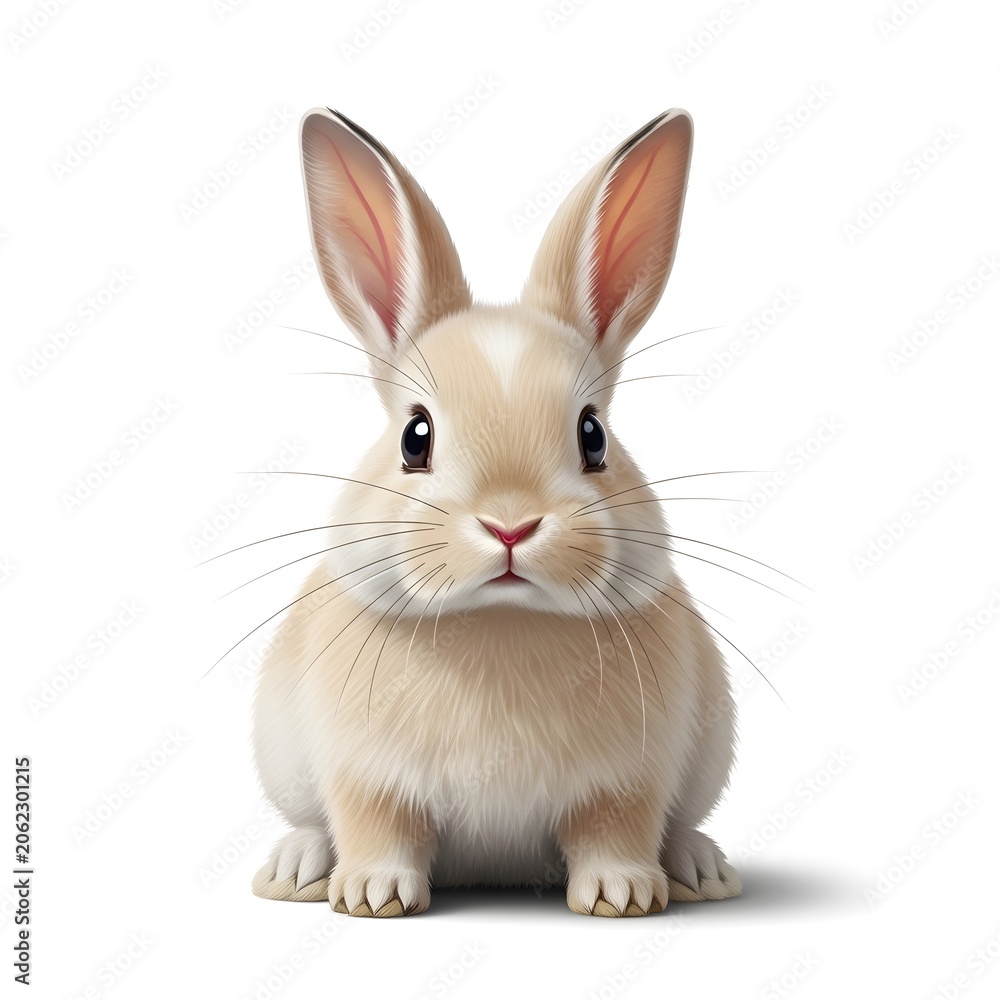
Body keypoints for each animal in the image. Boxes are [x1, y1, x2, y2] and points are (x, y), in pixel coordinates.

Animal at [249, 106, 742, 917]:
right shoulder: (365, 775)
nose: (510, 526)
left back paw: (700, 869)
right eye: (416, 437)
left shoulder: (628, 781)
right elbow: (374, 825)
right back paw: (295, 868)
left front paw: (622, 894)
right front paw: (374, 894)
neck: (501, 623)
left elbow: (618, 830)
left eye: (593, 435)